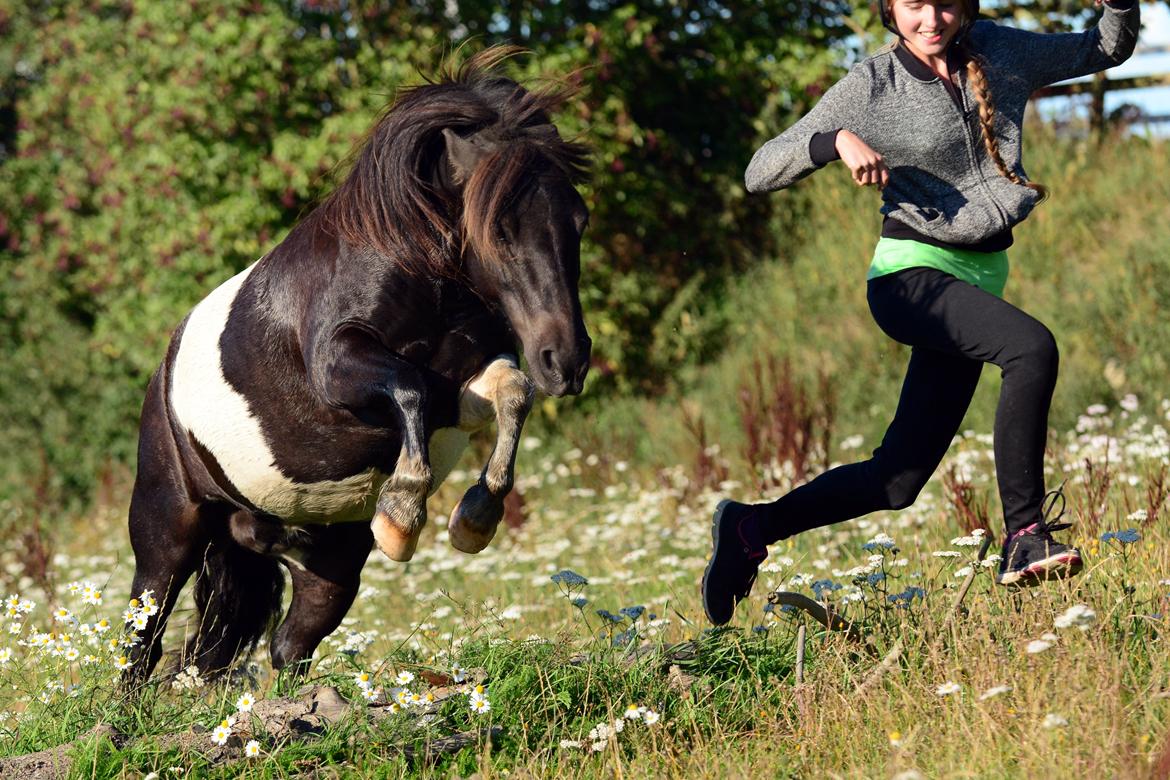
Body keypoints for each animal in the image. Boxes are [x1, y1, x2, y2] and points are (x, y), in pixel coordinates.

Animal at [125, 50, 594, 682]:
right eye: (498, 226)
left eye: (579, 220)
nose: (566, 361)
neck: (408, 264)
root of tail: (160, 385)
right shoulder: (339, 368)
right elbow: (410, 387)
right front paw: (401, 516)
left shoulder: (466, 385)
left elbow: (512, 391)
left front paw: (474, 518)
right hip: (166, 544)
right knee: (139, 649)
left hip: (329, 568)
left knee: (282, 645)